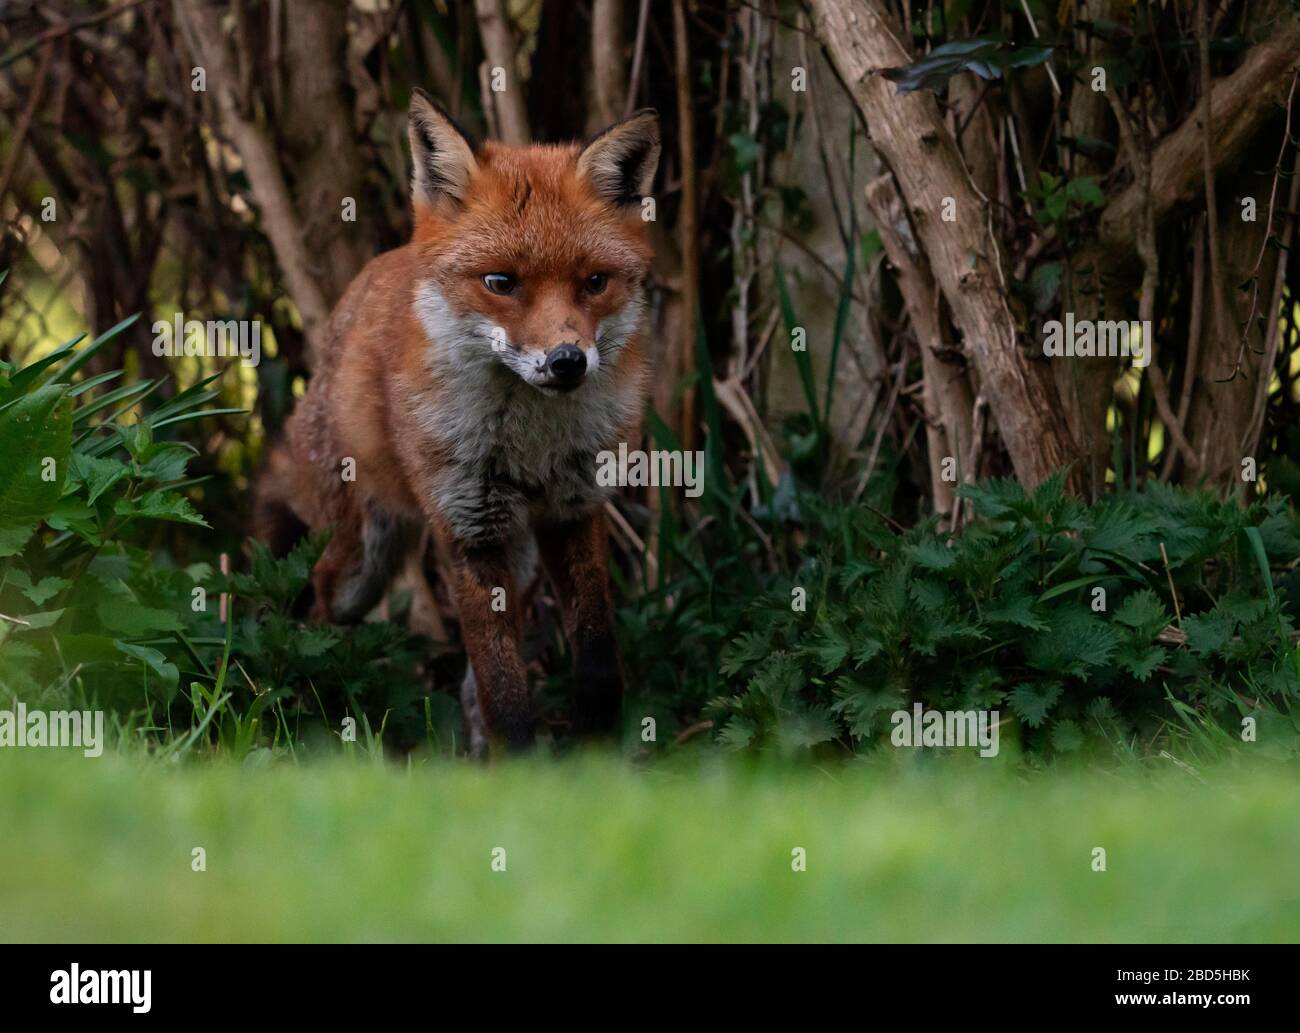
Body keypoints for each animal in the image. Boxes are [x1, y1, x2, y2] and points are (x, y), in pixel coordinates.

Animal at [252, 90, 660, 758]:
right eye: (500, 283)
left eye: (595, 282)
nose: (567, 361)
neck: (531, 440)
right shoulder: (468, 528)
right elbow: (503, 691)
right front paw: (522, 768)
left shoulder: (574, 509)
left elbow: (594, 658)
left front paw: (594, 751)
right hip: (362, 561)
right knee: (318, 609)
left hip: (519, 560)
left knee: (470, 678)